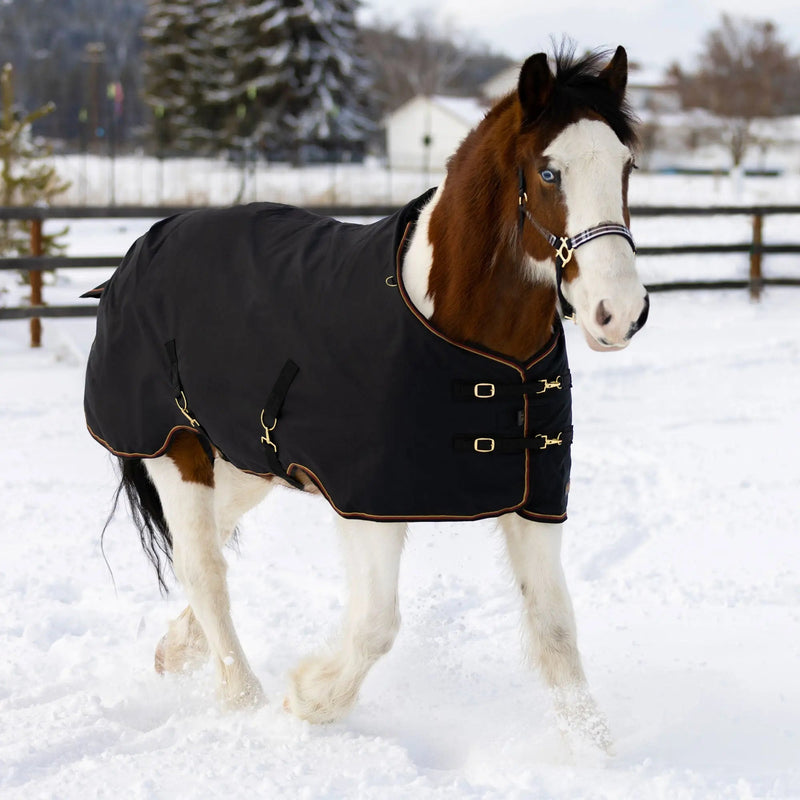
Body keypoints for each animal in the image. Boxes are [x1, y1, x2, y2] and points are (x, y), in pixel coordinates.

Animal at [84, 45, 648, 753]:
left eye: (627, 165)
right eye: (549, 172)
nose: (619, 313)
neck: (477, 349)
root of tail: (142, 247)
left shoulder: (533, 496)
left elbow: (555, 628)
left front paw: (594, 753)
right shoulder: (368, 501)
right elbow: (376, 624)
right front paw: (307, 700)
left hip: (245, 461)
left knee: (210, 542)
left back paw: (174, 651)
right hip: (175, 449)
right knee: (204, 567)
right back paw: (244, 701)